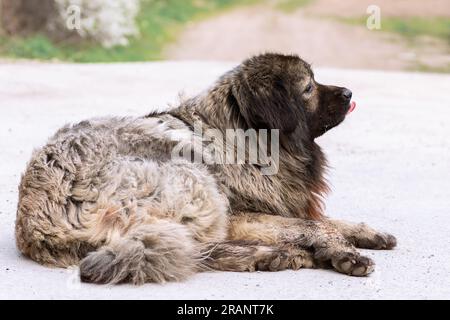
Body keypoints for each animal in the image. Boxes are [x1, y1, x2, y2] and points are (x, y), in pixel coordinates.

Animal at [14, 53, 396, 284]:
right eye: (308, 88)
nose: (349, 93)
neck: (245, 140)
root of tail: (33, 222)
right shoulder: (241, 214)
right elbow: (313, 226)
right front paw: (344, 252)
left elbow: (325, 220)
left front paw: (366, 232)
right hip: (195, 180)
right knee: (197, 249)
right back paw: (275, 255)